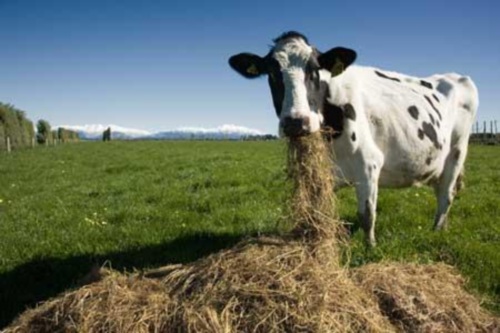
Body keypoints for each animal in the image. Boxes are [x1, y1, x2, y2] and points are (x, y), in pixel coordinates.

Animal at [229, 31, 478, 245]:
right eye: (272, 73)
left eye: (314, 70)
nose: (295, 122)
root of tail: (456, 76)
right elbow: (318, 212)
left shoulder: (369, 163)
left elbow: (367, 214)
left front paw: (371, 247)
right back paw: (443, 226)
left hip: (457, 152)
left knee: (446, 194)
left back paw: (436, 230)